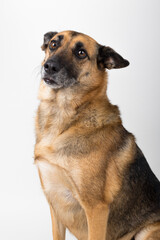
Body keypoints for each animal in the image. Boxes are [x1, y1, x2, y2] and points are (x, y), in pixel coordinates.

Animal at [34, 31, 160, 239]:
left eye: (81, 53)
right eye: (53, 44)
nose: (50, 66)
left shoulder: (96, 208)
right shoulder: (55, 203)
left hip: (148, 231)